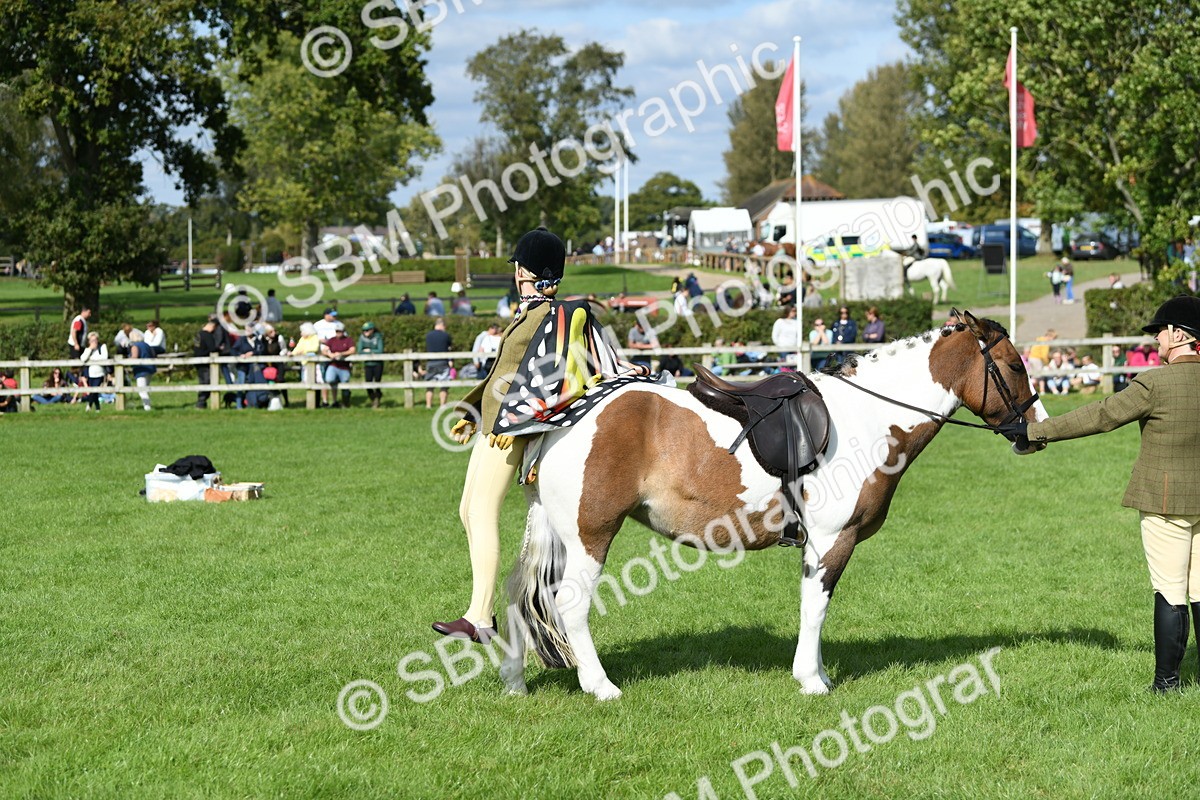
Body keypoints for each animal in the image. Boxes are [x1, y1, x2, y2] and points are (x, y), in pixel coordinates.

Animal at [499, 311, 1047, 700]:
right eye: (1014, 366)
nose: (1035, 432)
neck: (868, 417)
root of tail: (566, 416)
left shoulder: (815, 545)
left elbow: (811, 607)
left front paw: (816, 671)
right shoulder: (832, 541)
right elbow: (816, 607)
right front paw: (812, 680)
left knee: (517, 596)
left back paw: (514, 681)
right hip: (590, 535)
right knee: (570, 604)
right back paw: (601, 686)